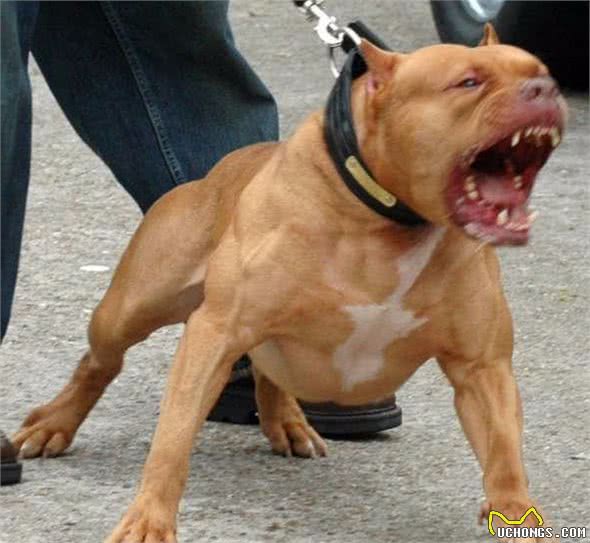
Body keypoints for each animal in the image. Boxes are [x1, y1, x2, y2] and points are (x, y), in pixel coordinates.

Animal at [13, 25, 566, 542]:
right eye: (468, 82)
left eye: (540, 71)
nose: (544, 89)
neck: (388, 223)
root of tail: (217, 172)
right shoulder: (214, 333)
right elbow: (172, 440)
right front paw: (149, 519)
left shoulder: (482, 367)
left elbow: (504, 451)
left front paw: (515, 512)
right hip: (129, 310)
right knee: (99, 362)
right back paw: (52, 424)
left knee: (267, 370)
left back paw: (287, 421)